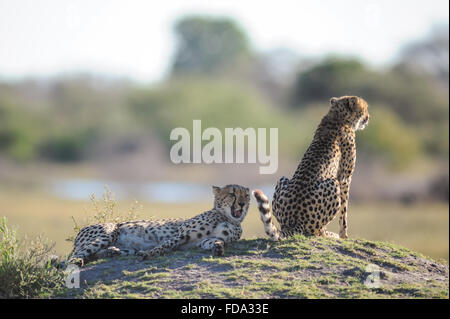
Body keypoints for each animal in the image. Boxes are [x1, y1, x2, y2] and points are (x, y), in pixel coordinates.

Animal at [66, 184, 250, 266]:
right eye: (232, 194)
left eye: (246, 195)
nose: (242, 204)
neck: (228, 218)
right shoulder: (181, 235)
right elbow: (165, 245)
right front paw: (149, 254)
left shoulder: (204, 240)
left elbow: (215, 241)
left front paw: (218, 248)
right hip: (107, 233)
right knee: (74, 258)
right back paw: (79, 261)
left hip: (124, 247)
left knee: (96, 254)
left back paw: (112, 252)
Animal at [251, 96, 370, 241]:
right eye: (365, 108)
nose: (368, 117)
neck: (338, 115)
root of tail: (293, 224)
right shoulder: (344, 179)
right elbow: (344, 211)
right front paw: (344, 235)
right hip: (332, 183)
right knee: (316, 231)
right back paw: (330, 235)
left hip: (282, 180)